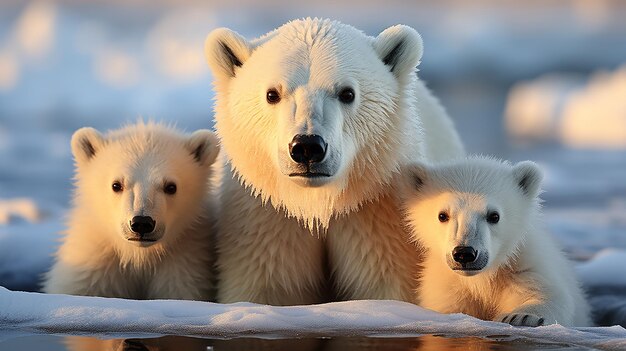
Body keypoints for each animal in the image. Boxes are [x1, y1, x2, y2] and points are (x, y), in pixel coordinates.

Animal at [42, 122, 218, 302]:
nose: (142, 223)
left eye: (171, 187)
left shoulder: (183, 266)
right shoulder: (93, 265)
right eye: (116, 185)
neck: (138, 256)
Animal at [205, 17, 464, 306]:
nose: (307, 147)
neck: (317, 205)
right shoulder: (264, 221)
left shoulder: (379, 218)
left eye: (347, 93)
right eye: (272, 94)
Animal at [400, 157, 588, 328]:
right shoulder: (448, 286)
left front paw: (522, 316)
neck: (481, 279)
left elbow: (549, 295)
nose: (464, 253)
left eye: (494, 215)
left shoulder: (524, 268)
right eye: (442, 215)